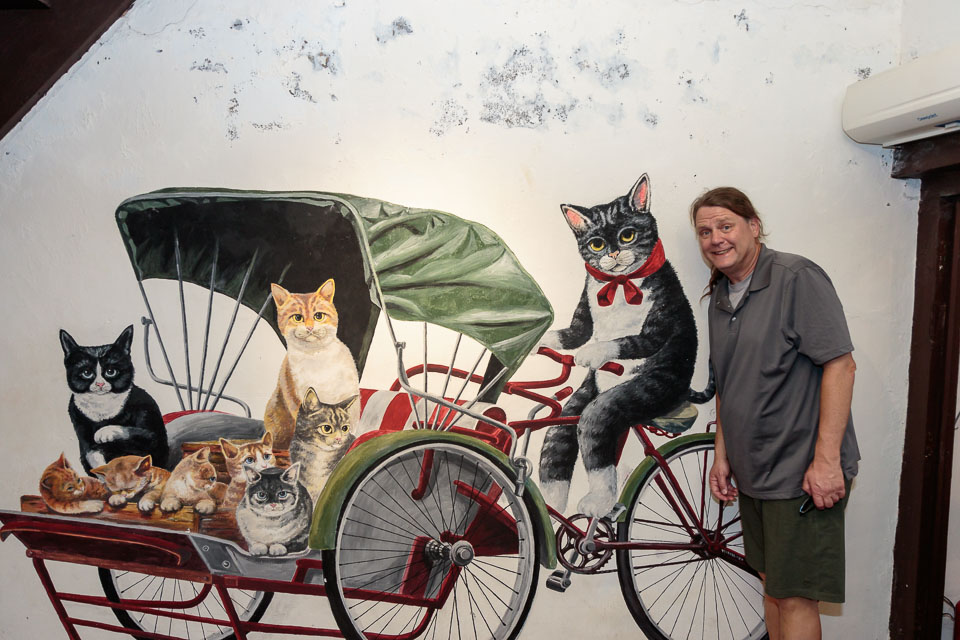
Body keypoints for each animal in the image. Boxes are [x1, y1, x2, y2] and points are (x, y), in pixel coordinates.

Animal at [60, 325, 168, 473]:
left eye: (111, 371)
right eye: (86, 373)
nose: (100, 384)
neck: (102, 405)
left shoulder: (150, 424)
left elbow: (137, 433)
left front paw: (104, 432)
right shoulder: (80, 423)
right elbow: (92, 454)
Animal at [263, 280, 360, 450]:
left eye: (318, 316)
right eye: (297, 317)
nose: (309, 327)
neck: (316, 356)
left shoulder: (348, 395)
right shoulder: (296, 398)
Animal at [538, 174, 704, 518]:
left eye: (627, 235)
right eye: (596, 244)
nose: (613, 254)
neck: (619, 285)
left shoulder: (661, 313)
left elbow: (633, 341)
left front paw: (593, 352)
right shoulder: (583, 313)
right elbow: (574, 332)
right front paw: (543, 338)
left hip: (643, 391)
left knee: (594, 424)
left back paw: (598, 503)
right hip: (584, 394)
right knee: (557, 439)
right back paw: (552, 507)